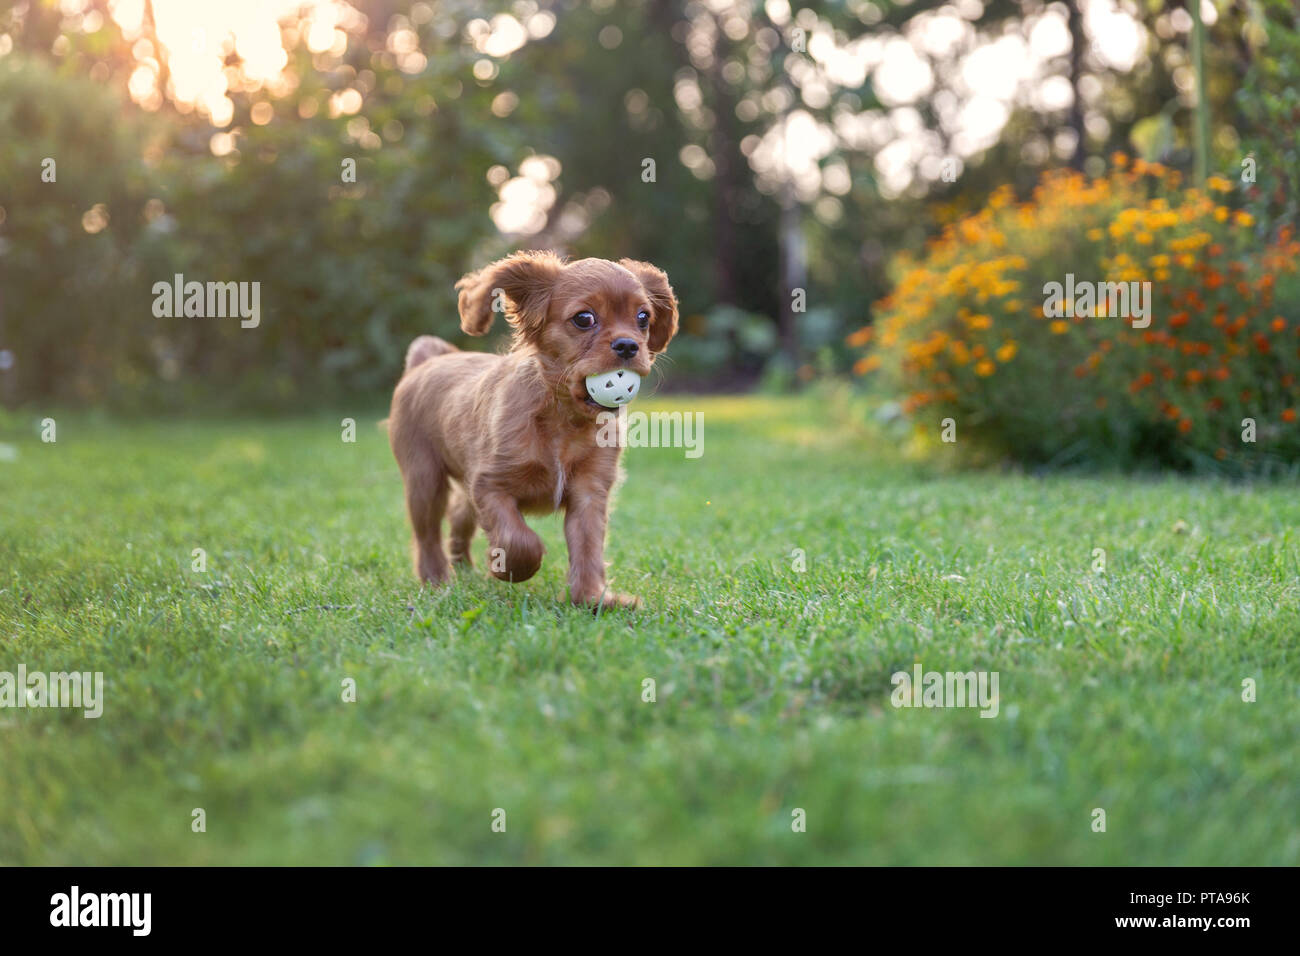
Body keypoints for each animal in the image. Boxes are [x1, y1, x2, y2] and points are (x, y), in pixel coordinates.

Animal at [387, 251, 681, 608]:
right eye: (584, 318)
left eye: (643, 318)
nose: (628, 346)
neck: (563, 417)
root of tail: (425, 361)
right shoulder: (490, 485)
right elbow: (519, 541)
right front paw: (506, 568)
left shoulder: (590, 490)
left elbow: (588, 547)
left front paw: (592, 598)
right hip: (424, 479)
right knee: (427, 534)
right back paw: (437, 580)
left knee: (459, 513)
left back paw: (464, 568)